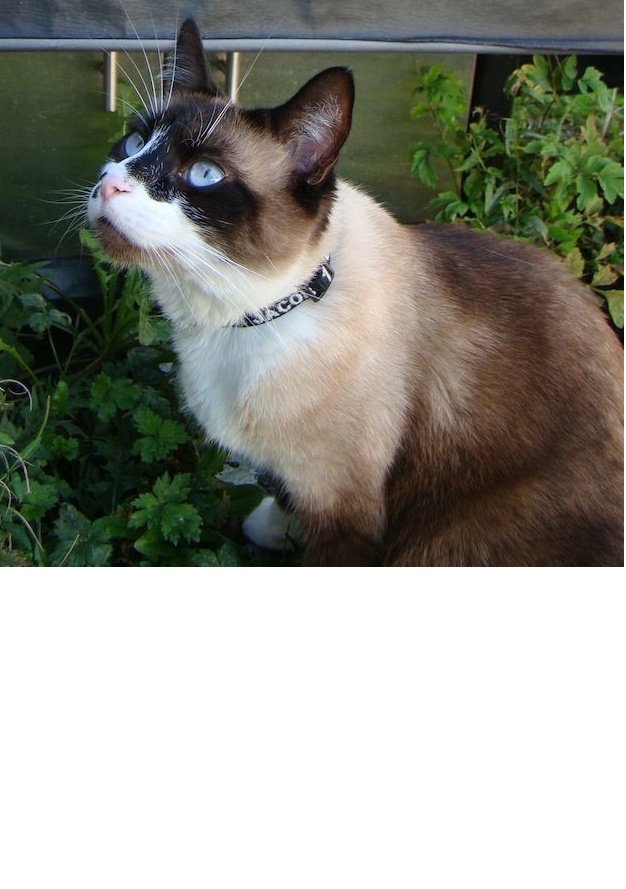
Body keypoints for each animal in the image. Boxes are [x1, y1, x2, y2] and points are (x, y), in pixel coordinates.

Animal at [85, 20, 620, 564]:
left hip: (443, 544)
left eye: (204, 174)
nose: (110, 185)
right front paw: (272, 528)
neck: (239, 318)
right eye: (133, 142)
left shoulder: (345, 509)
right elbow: (284, 492)